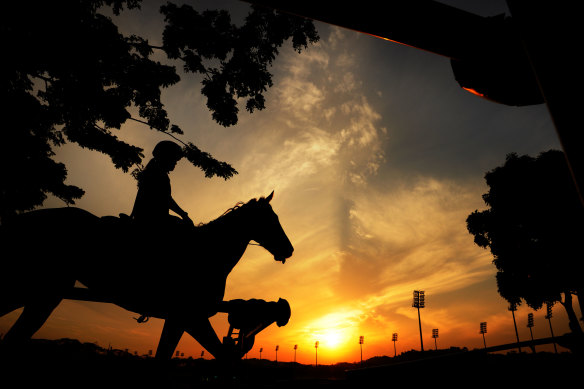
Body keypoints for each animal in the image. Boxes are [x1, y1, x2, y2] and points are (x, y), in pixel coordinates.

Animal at [0, 192, 292, 360]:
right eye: (272, 219)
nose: (288, 249)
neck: (207, 252)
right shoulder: (190, 316)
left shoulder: (180, 318)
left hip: (43, 294)